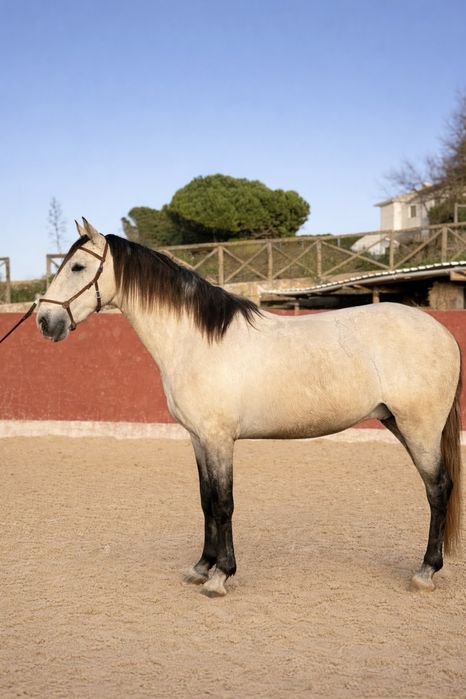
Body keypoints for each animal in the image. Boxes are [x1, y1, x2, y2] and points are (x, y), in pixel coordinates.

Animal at [36, 218, 462, 597]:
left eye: (77, 266)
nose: (44, 320)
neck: (195, 341)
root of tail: (443, 332)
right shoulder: (199, 439)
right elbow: (206, 501)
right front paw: (201, 566)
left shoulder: (219, 439)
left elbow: (224, 503)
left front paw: (221, 576)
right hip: (398, 423)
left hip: (419, 428)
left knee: (438, 489)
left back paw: (425, 572)